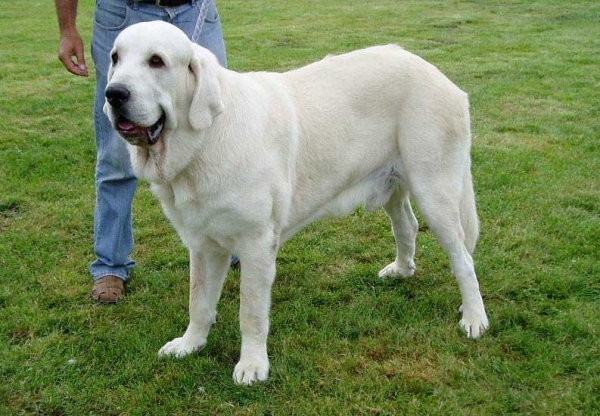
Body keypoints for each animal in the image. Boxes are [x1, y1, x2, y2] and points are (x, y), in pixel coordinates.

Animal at [103, 21, 488, 386]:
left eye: (157, 61)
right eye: (115, 58)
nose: (113, 93)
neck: (203, 142)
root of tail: (439, 76)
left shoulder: (257, 245)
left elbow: (251, 312)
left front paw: (252, 365)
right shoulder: (203, 245)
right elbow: (198, 302)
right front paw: (189, 345)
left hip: (434, 190)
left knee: (463, 258)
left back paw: (474, 318)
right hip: (393, 184)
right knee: (407, 225)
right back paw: (402, 269)